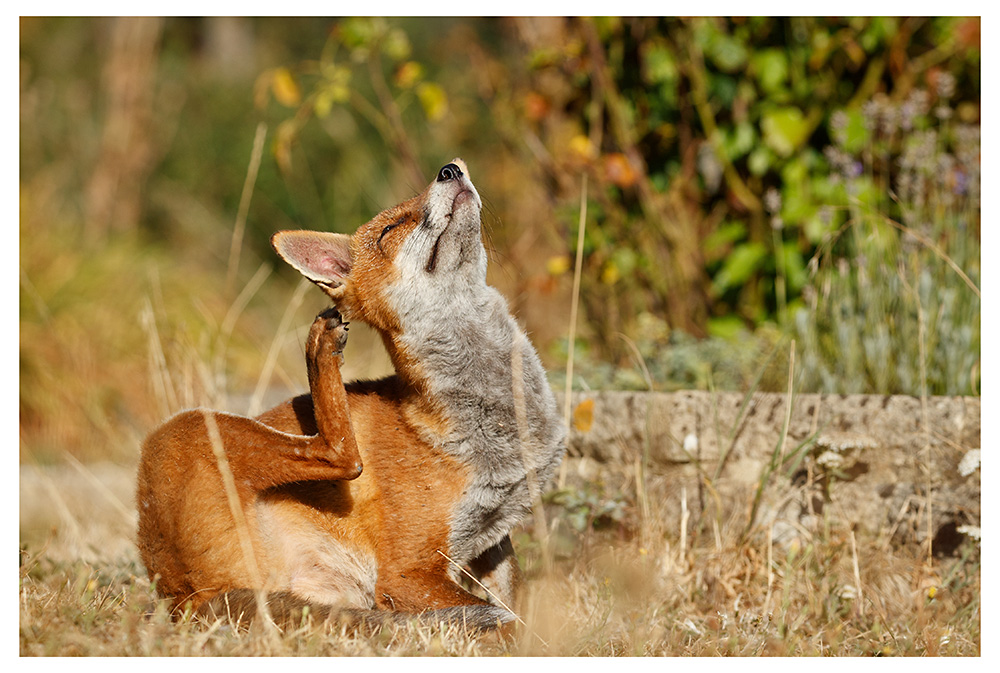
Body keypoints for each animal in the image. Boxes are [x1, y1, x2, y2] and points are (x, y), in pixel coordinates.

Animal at [136, 159, 566, 632]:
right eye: (389, 229)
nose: (451, 169)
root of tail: (179, 595)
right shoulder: (404, 572)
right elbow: (512, 625)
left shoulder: (493, 535)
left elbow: (519, 603)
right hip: (187, 426)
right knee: (339, 453)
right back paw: (319, 351)